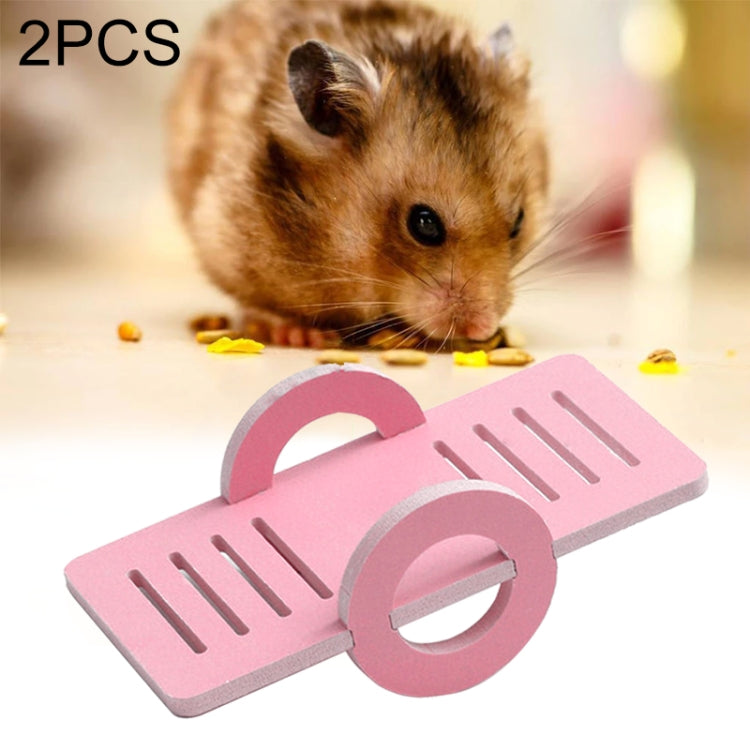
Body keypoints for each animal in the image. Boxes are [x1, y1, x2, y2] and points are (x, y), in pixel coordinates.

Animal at [168, 0, 549, 347]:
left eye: (519, 221)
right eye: (424, 224)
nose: (482, 329)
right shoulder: (223, 235)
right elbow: (259, 303)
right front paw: (304, 336)